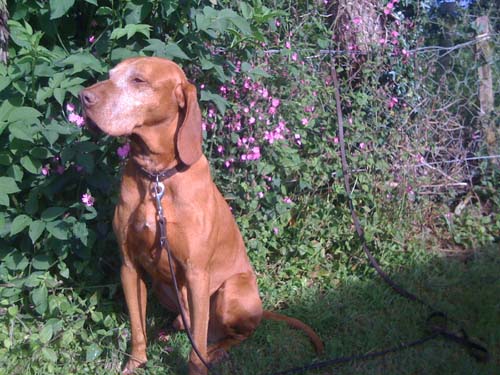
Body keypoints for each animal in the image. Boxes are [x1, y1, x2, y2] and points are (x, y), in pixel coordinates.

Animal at [81, 56, 324, 375]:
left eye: (138, 80)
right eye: (110, 75)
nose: (82, 97)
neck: (157, 178)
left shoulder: (197, 274)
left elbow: (196, 342)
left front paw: (197, 366)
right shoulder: (129, 267)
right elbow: (137, 328)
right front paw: (135, 364)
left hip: (230, 292)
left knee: (234, 334)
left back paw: (216, 350)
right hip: (165, 287)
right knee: (185, 323)